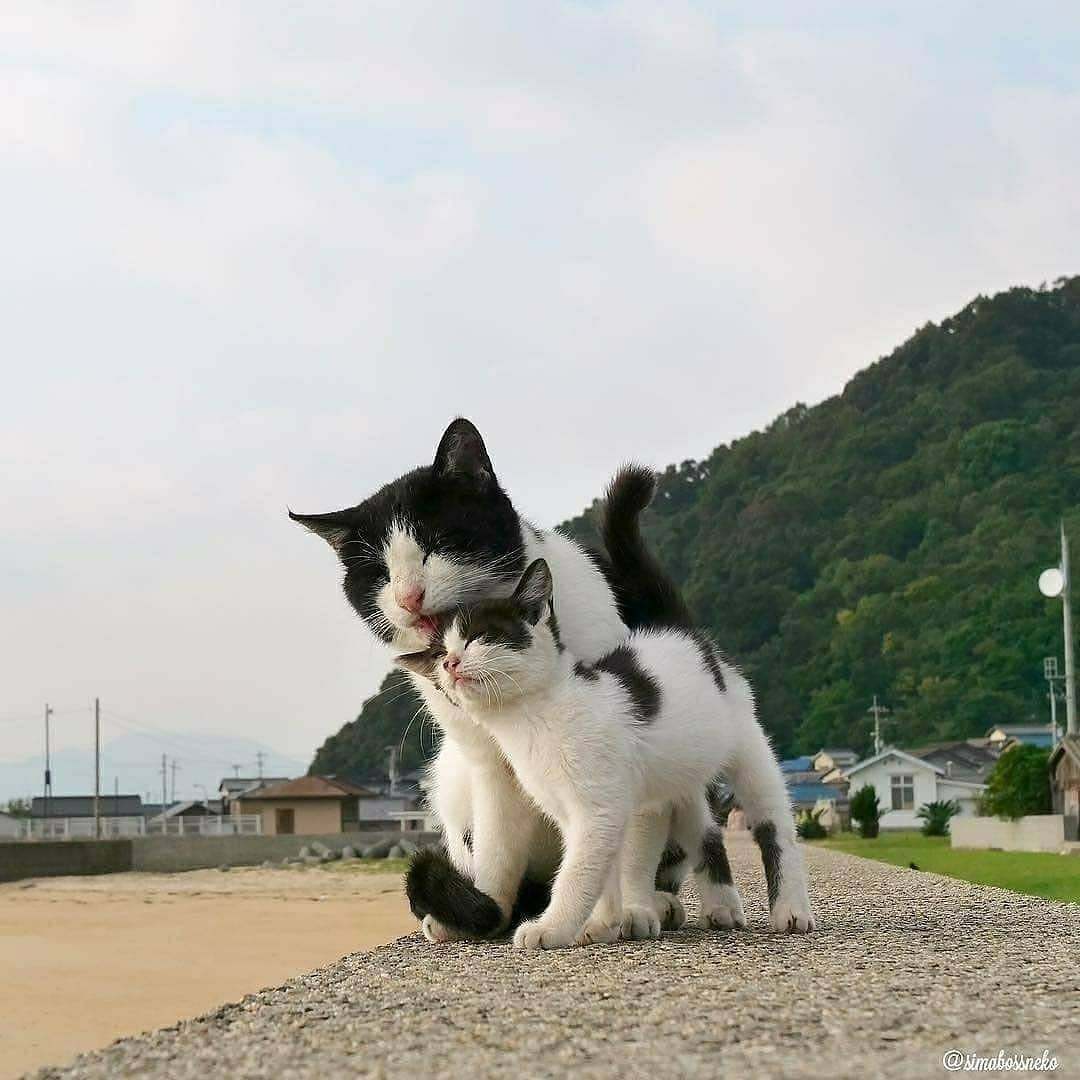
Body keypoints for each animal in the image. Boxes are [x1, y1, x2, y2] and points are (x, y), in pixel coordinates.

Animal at [401, 561, 812, 950]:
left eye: (480, 636)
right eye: (439, 655)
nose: (450, 664)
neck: (533, 718)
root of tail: (680, 632)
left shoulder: (598, 809)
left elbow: (576, 872)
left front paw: (552, 927)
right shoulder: (579, 812)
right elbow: (602, 865)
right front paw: (602, 923)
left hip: (747, 746)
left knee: (775, 826)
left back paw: (791, 909)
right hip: (677, 774)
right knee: (703, 830)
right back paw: (722, 904)